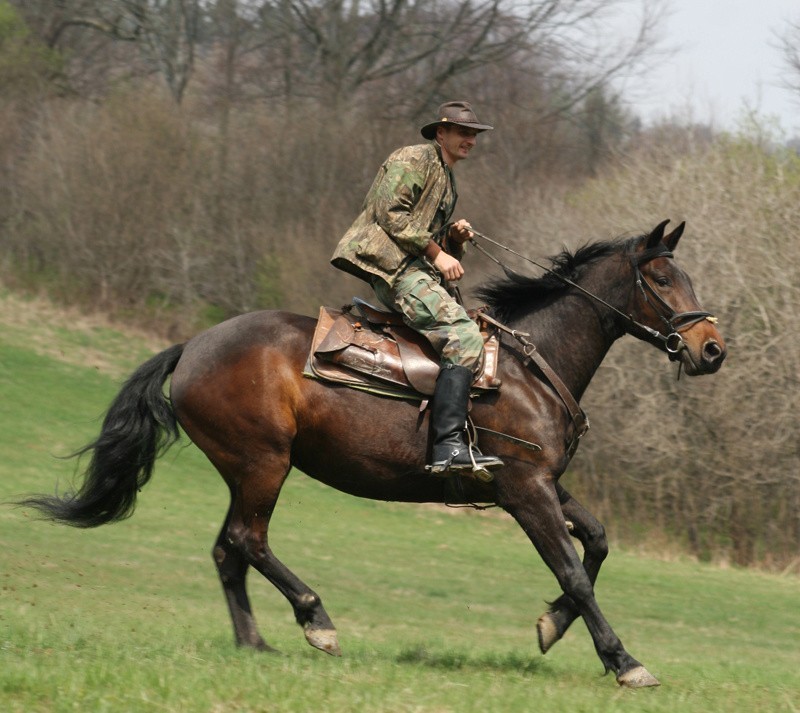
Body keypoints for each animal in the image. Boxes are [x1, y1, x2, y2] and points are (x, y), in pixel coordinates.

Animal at [21, 218, 728, 684]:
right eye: (662, 277)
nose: (713, 349)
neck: (531, 366)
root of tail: (193, 346)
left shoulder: (544, 483)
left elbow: (598, 543)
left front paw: (552, 626)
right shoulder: (524, 491)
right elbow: (574, 573)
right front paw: (624, 661)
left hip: (244, 472)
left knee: (228, 551)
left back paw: (254, 644)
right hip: (263, 465)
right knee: (248, 541)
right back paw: (316, 620)